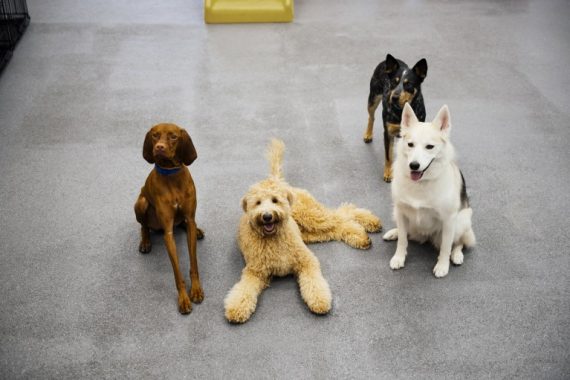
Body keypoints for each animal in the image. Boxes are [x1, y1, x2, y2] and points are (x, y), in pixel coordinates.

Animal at [133, 123, 204, 314]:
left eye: (173, 136)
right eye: (155, 135)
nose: (159, 147)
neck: (171, 175)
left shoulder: (189, 218)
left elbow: (194, 263)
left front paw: (196, 290)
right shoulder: (168, 233)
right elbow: (177, 272)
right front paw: (183, 298)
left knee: (186, 224)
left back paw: (198, 230)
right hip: (141, 203)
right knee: (144, 226)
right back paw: (145, 242)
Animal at [224, 138, 380, 322]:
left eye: (274, 200)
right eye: (257, 203)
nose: (267, 216)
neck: (274, 238)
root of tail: (282, 184)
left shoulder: (306, 260)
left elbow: (314, 282)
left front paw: (320, 300)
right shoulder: (255, 271)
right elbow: (243, 289)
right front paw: (236, 308)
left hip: (312, 216)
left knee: (343, 213)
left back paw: (370, 223)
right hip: (310, 232)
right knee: (338, 227)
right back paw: (361, 237)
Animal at [364, 54, 426, 183]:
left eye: (409, 84)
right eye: (393, 82)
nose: (394, 97)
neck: (402, 111)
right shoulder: (388, 133)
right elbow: (388, 156)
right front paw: (388, 173)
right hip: (373, 98)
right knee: (371, 117)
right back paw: (368, 134)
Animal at [384, 102, 472, 278]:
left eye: (429, 147)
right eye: (410, 144)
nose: (414, 165)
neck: (421, 183)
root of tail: (424, 236)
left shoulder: (449, 220)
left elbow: (446, 247)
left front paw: (442, 265)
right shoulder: (401, 212)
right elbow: (403, 240)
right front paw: (399, 257)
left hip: (461, 220)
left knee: (459, 242)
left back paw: (457, 255)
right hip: (396, 214)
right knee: (407, 233)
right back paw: (394, 232)